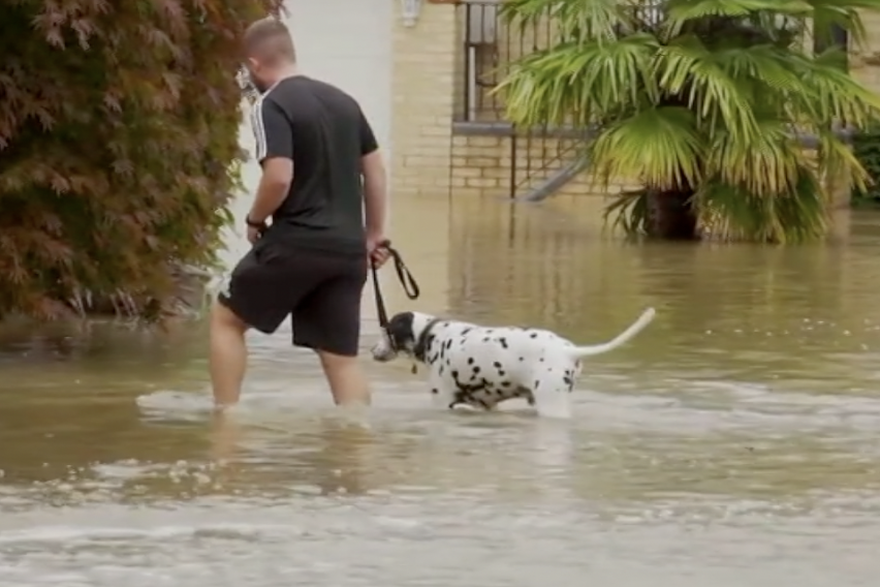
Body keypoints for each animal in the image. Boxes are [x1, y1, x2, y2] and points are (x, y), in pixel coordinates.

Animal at [372, 308, 652, 418]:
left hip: (550, 403)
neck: (433, 335)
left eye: (385, 331)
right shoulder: (487, 406)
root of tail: (568, 350)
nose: (373, 351)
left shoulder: (442, 401)